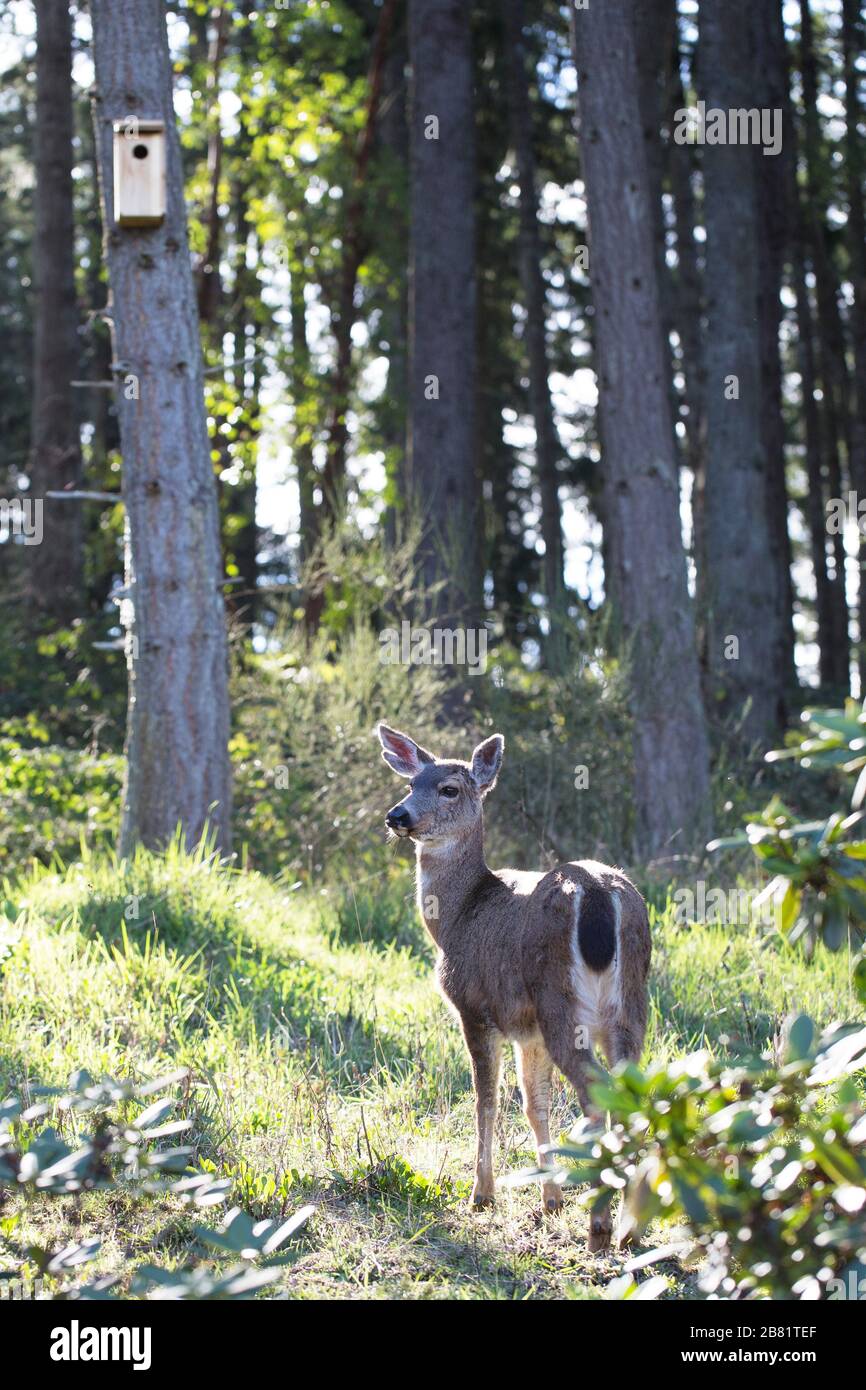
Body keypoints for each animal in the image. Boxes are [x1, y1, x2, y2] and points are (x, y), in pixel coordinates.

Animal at [377, 722, 651, 1251]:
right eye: (411, 782)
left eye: (449, 788)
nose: (398, 816)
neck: (457, 917)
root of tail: (598, 894)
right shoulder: (528, 1030)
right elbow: (533, 1104)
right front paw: (550, 1200)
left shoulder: (475, 1007)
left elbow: (485, 1099)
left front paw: (481, 1194)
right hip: (630, 1001)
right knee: (631, 1090)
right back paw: (630, 1228)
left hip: (562, 1001)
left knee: (594, 1092)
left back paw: (600, 1228)